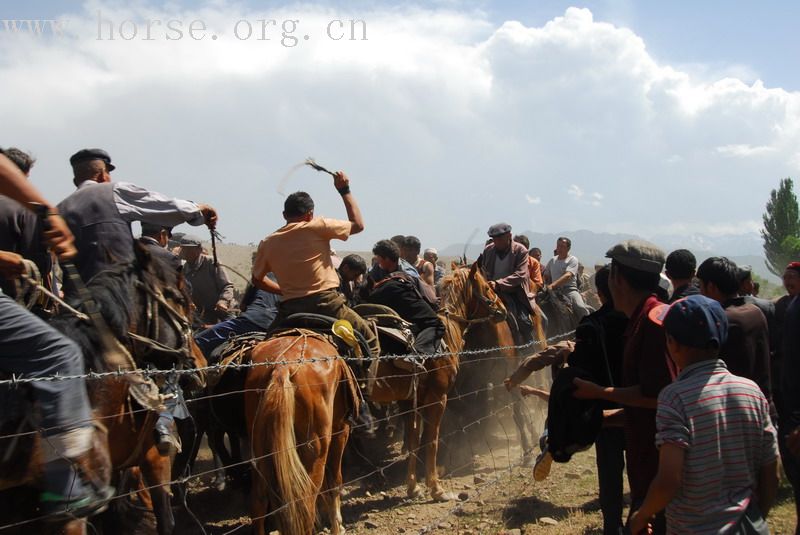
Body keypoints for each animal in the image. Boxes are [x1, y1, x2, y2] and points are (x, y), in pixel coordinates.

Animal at [244, 330, 356, 535]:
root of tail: (282, 368)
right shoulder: (341, 430)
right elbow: (334, 482)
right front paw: (337, 526)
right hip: (316, 452)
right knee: (307, 508)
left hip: (261, 452)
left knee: (258, 503)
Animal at [368, 264, 506, 502]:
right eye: (487, 286)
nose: (503, 309)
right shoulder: (437, 399)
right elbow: (431, 440)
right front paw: (436, 488)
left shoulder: (410, 402)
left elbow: (414, 441)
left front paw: (413, 487)